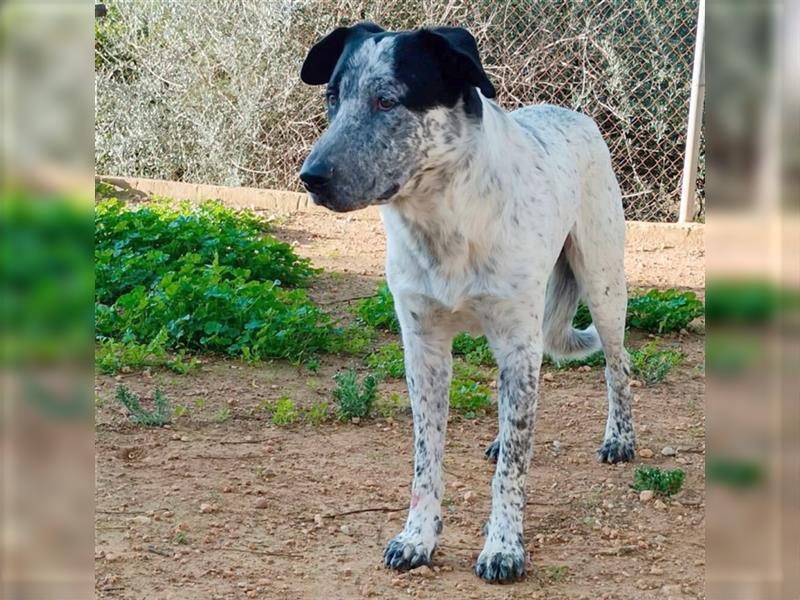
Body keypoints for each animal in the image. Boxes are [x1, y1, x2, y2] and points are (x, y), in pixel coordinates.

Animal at [296, 22, 636, 580]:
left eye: (387, 99)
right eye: (332, 98)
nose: (311, 177)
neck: (443, 222)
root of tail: (572, 111)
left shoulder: (517, 341)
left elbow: (513, 471)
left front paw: (503, 546)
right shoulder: (424, 349)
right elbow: (426, 460)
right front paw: (417, 538)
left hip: (603, 286)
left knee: (617, 364)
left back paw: (620, 439)